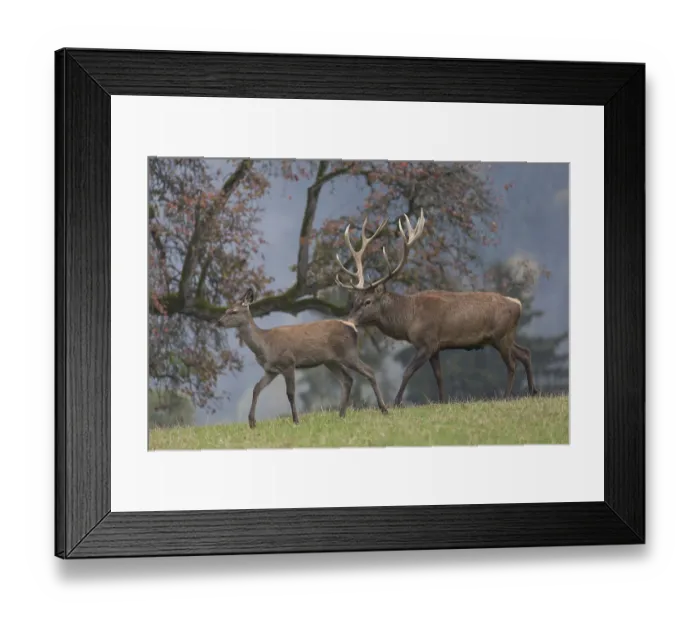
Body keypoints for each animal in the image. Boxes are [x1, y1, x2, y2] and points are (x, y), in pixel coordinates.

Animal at [217, 287, 389, 429]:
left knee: (369, 371)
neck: (265, 345)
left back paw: (384, 409)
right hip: (331, 360)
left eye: (233, 311)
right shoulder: (271, 370)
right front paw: (252, 422)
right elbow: (256, 388)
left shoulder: (288, 363)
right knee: (347, 379)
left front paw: (296, 420)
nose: (218, 322)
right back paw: (341, 415)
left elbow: (290, 393)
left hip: (348, 354)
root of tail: (352, 327)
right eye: (226, 310)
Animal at [334, 208, 538, 407]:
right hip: (505, 336)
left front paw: (396, 402)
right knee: (525, 353)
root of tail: (518, 304)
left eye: (368, 301)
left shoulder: (427, 342)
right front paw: (442, 401)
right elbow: (439, 376)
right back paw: (533, 391)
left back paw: (506, 396)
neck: (408, 320)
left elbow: (408, 371)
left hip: (500, 336)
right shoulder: (436, 348)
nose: (348, 320)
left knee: (512, 364)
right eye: (355, 300)